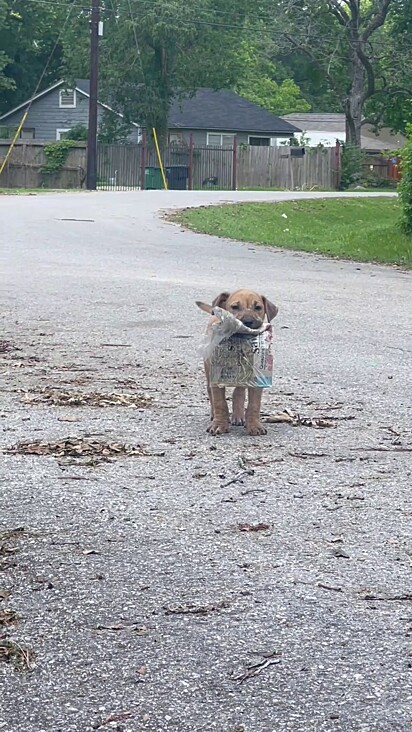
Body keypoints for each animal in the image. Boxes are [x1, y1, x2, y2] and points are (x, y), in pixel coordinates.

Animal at [200, 288, 276, 438]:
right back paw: (214, 415)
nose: (248, 321)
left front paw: (254, 425)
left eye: (258, 307)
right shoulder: (216, 377)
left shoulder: (256, 379)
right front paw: (219, 424)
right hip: (208, 369)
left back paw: (239, 416)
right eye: (235, 307)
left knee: (238, 392)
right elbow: (220, 402)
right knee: (211, 392)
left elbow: (254, 404)